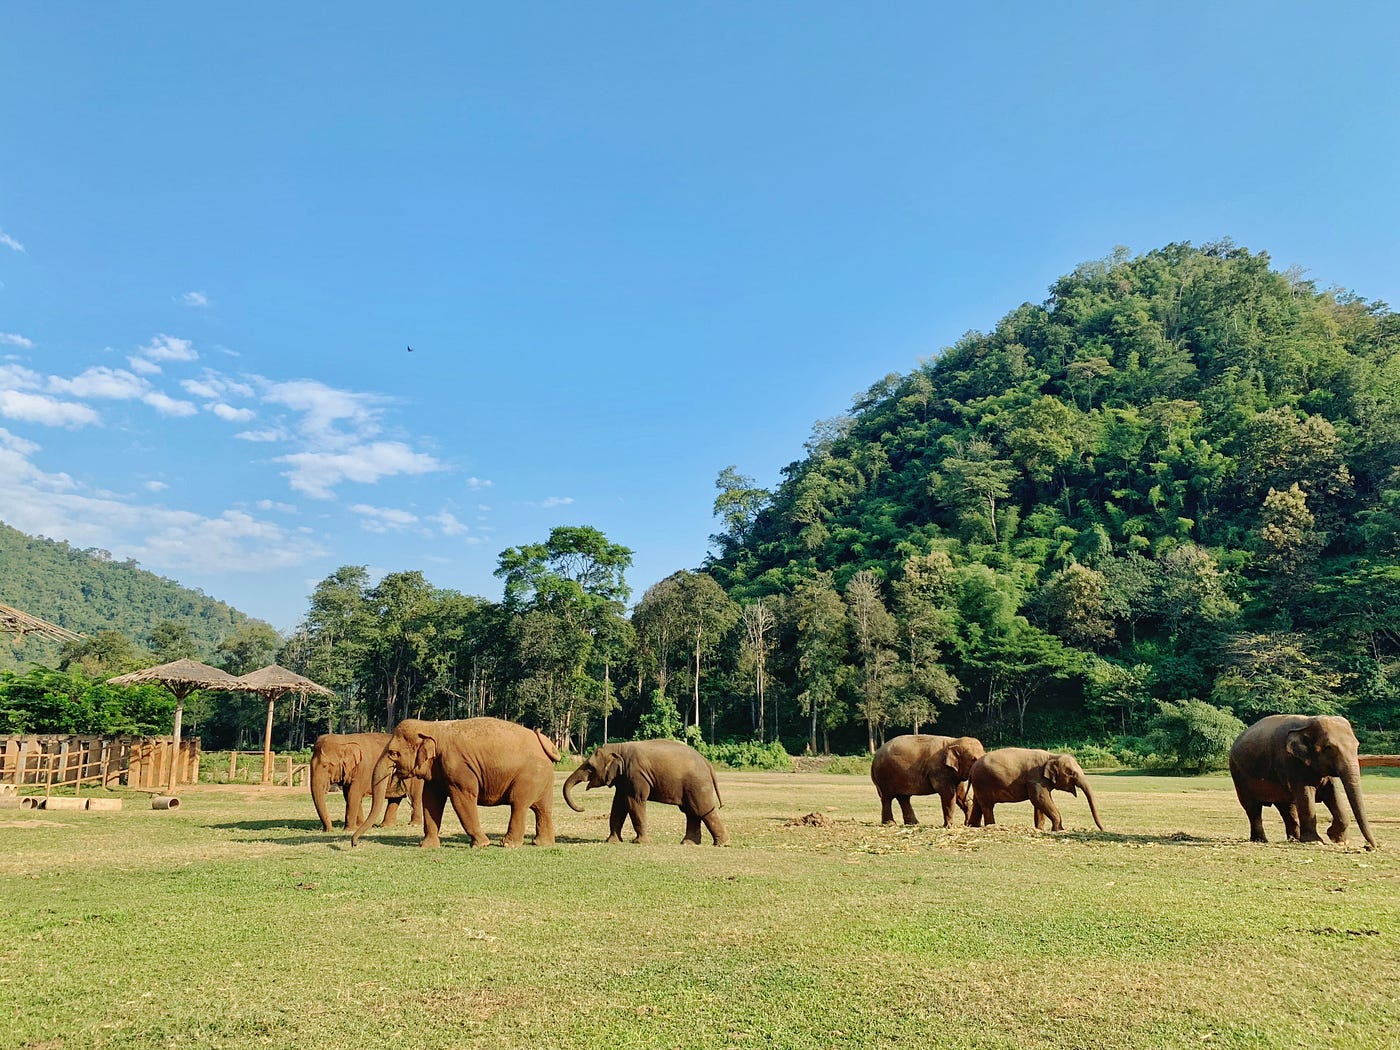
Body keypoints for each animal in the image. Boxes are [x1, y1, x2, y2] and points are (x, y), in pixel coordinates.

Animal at [347, 722, 560, 851]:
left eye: (393, 753)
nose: (354, 844)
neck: (431, 727)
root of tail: (544, 744)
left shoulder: (458, 767)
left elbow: (462, 800)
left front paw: (481, 844)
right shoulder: (436, 770)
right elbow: (431, 802)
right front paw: (427, 846)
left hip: (528, 776)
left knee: (519, 804)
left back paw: (508, 844)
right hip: (544, 778)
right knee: (543, 809)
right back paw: (542, 844)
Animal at [560, 739, 728, 845]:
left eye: (590, 766)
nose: (582, 808)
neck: (619, 748)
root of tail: (707, 763)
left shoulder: (636, 774)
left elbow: (634, 802)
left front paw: (640, 842)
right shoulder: (624, 778)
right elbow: (618, 806)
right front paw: (612, 841)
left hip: (697, 784)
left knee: (702, 810)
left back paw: (721, 843)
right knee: (691, 812)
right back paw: (688, 843)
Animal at [963, 750, 1103, 834]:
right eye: (1072, 773)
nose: (1102, 829)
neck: (1052, 756)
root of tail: (972, 769)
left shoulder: (1042, 781)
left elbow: (1040, 803)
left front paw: (1040, 829)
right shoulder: (1035, 779)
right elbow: (1040, 799)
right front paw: (1058, 830)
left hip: (979, 785)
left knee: (978, 804)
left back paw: (973, 826)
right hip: (983, 782)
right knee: (987, 806)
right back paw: (991, 826)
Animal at [1226, 711, 1377, 851]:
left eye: (1357, 746)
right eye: (1329, 748)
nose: (1369, 846)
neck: (1309, 722)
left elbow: (1333, 793)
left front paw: (1338, 840)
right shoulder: (1291, 762)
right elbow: (1305, 795)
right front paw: (1316, 841)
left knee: (1287, 807)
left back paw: (1294, 839)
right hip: (1239, 775)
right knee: (1253, 807)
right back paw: (1261, 840)